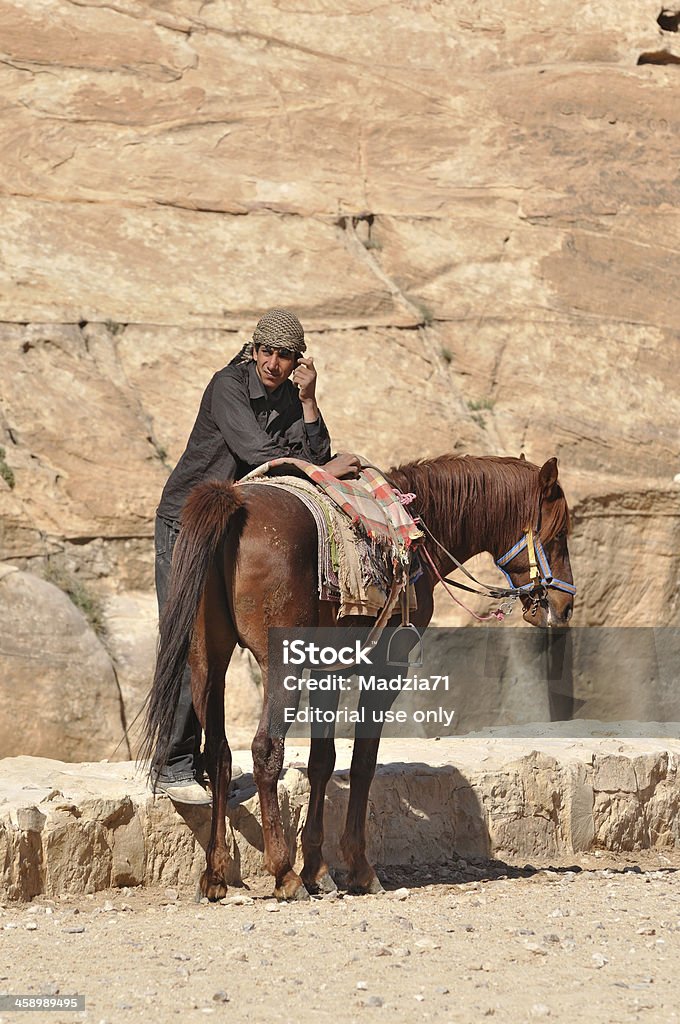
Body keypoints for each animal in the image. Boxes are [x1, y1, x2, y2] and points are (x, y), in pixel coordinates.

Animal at [142, 452, 573, 901]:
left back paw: (215, 874)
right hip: (280, 663)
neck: (416, 529)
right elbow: (363, 761)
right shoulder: (386, 669)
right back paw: (283, 873)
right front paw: (359, 869)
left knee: (218, 754)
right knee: (264, 749)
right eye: (560, 533)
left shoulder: (325, 670)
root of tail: (232, 500)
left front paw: (318, 868)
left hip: (207, 657)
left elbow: (323, 761)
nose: (564, 606)